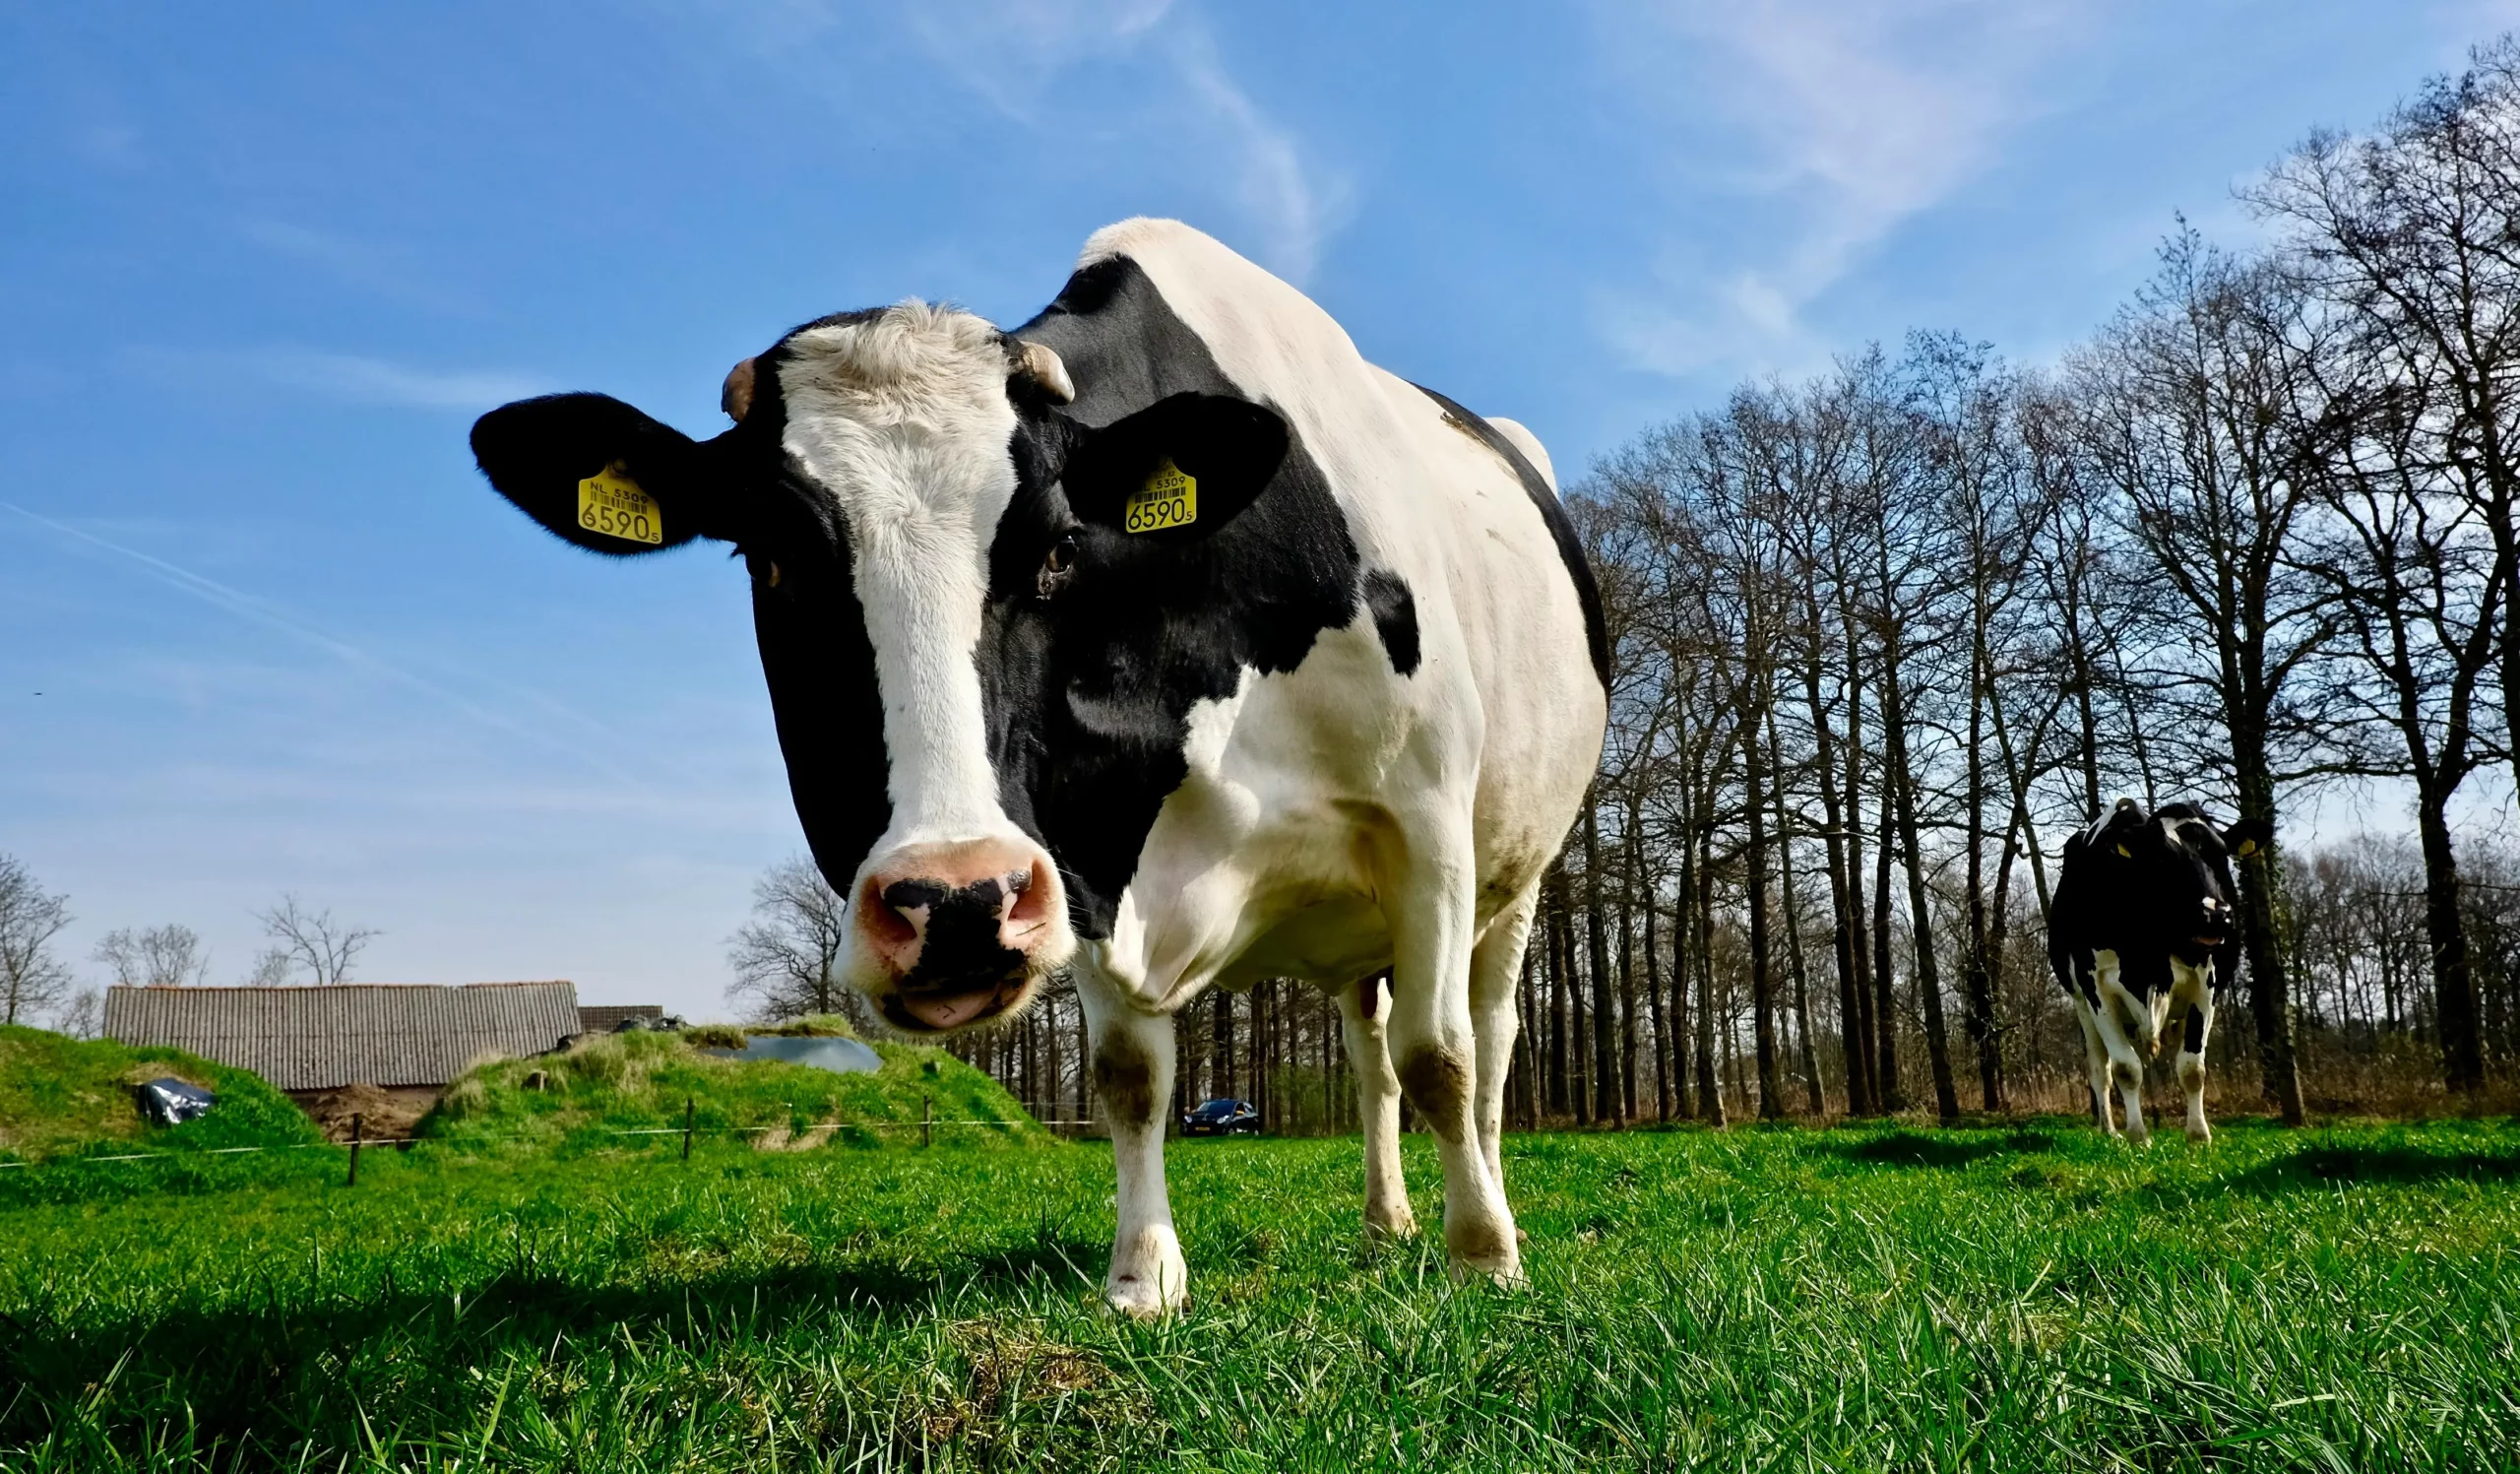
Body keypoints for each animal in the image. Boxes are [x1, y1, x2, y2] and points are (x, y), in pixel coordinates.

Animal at [468, 219, 1608, 1314]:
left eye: (1059, 545)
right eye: (769, 556)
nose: (956, 903)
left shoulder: (1425, 825)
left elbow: (1442, 1055)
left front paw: (1484, 1257)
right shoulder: (1082, 854)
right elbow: (1130, 1077)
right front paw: (1144, 1276)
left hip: (1514, 876)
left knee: (1484, 1041)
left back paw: (1482, 1204)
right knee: (1369, 1053)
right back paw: (1385, 1221)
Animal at [2046, 798, 2270, 1144]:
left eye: (2222, 854)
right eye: (2163, 857)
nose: (2215, 914)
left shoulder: (2206, 985)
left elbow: (2192, 1068)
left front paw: (2198, 1135)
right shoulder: (2096, 988)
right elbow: (2125, 1068)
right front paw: (2138, 1135)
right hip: (2081, 1004)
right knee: (2100, 1069)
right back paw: (2109, 1130)